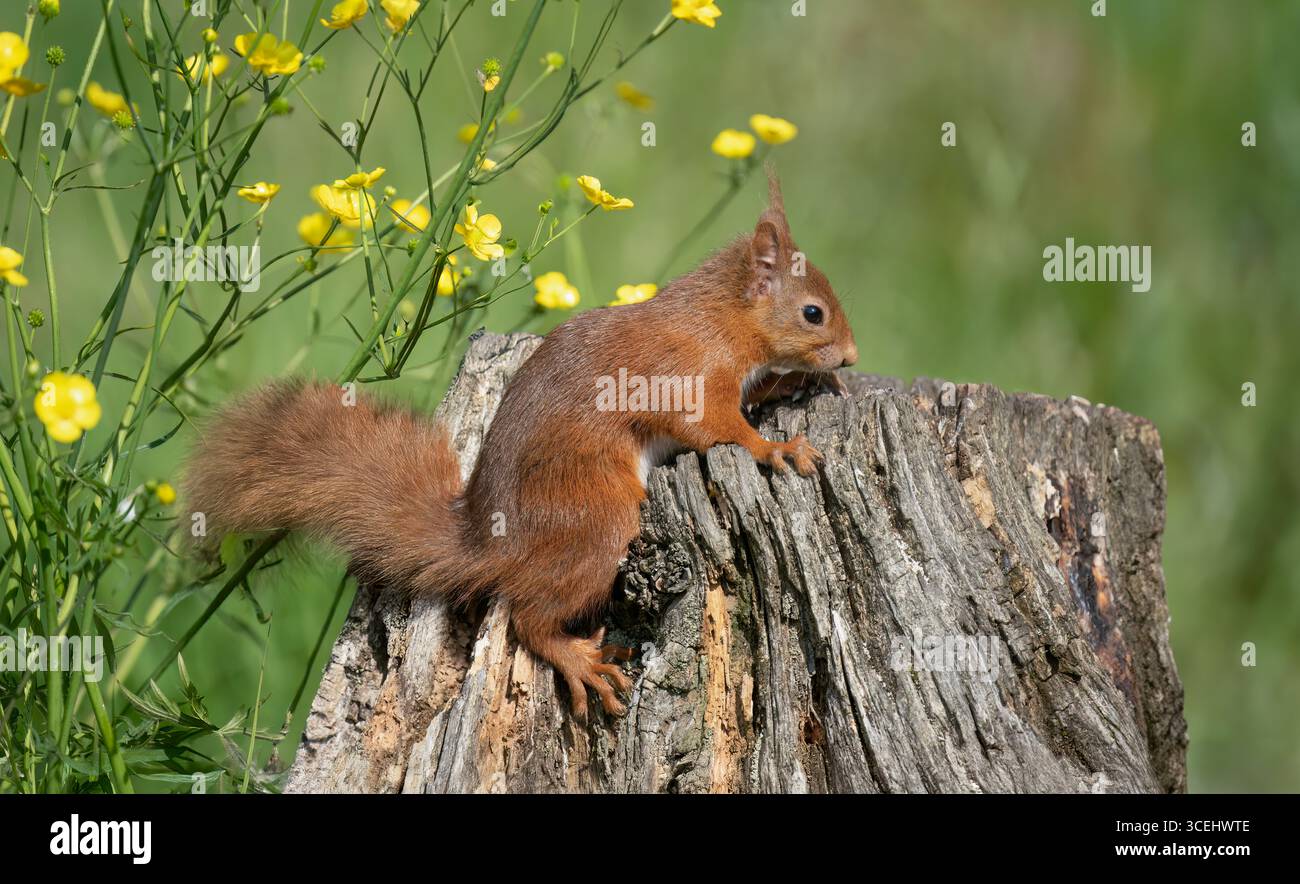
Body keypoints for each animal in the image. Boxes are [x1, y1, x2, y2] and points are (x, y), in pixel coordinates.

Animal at [182, 170, 858, 720]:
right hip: (598, 521)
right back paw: (580, 662)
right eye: (814, 313)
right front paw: (779, 449)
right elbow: (720, 429)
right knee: (530, 617)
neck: (721, 319)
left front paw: (795, 383)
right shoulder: (687, 379)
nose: (851, 357)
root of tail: (494, 544)